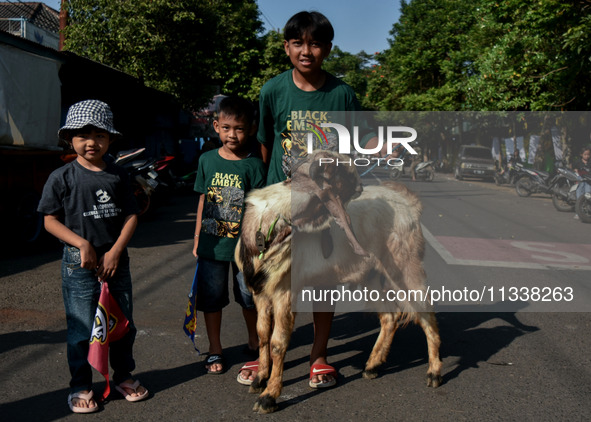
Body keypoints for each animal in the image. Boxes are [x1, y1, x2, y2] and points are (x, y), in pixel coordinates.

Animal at [238, 151, 442, 412]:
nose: (360, 186)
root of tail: (410, 204)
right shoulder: (261, 293)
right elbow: (263, 334)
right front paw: (259, 379)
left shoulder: (285, 293)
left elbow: (277, 342)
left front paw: (269, 396)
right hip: (373, 276)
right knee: (390, 316)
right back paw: (372, 366)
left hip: (406, 268)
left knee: (426, 313)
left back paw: (434, 373)